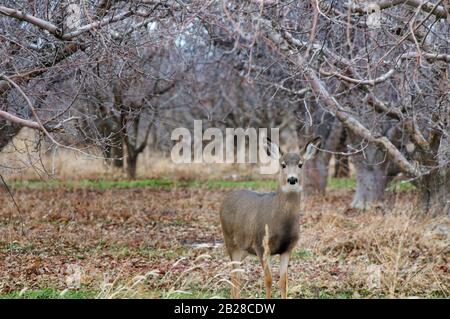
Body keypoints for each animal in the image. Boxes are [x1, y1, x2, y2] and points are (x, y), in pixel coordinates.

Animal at [220, 136, 322, 298]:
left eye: (300, 164)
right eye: (283, 164)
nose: (292, 179)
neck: (280, 224)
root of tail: (224, 200)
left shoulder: (287, 248)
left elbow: (283, 282)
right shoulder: (261, 245)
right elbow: (268, 280)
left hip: (244, 249)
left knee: (236, 274)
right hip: (230, 241)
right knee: (235, 274)